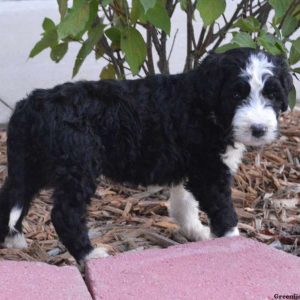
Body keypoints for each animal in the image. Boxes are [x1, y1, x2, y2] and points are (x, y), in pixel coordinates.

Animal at [0, 47, 292, 262]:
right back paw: (90, 255)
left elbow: (184, 204)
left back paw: (12, 240)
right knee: (65, 214)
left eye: (272, 94)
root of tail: (30, 105)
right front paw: (233, 243)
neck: (203, 102)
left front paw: (197, 232)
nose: (259, 129)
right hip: (77, 167)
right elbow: (223, 210)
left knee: (12, 195)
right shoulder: (209, 170)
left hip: (30, 164)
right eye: (236, 94)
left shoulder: (192, 166)